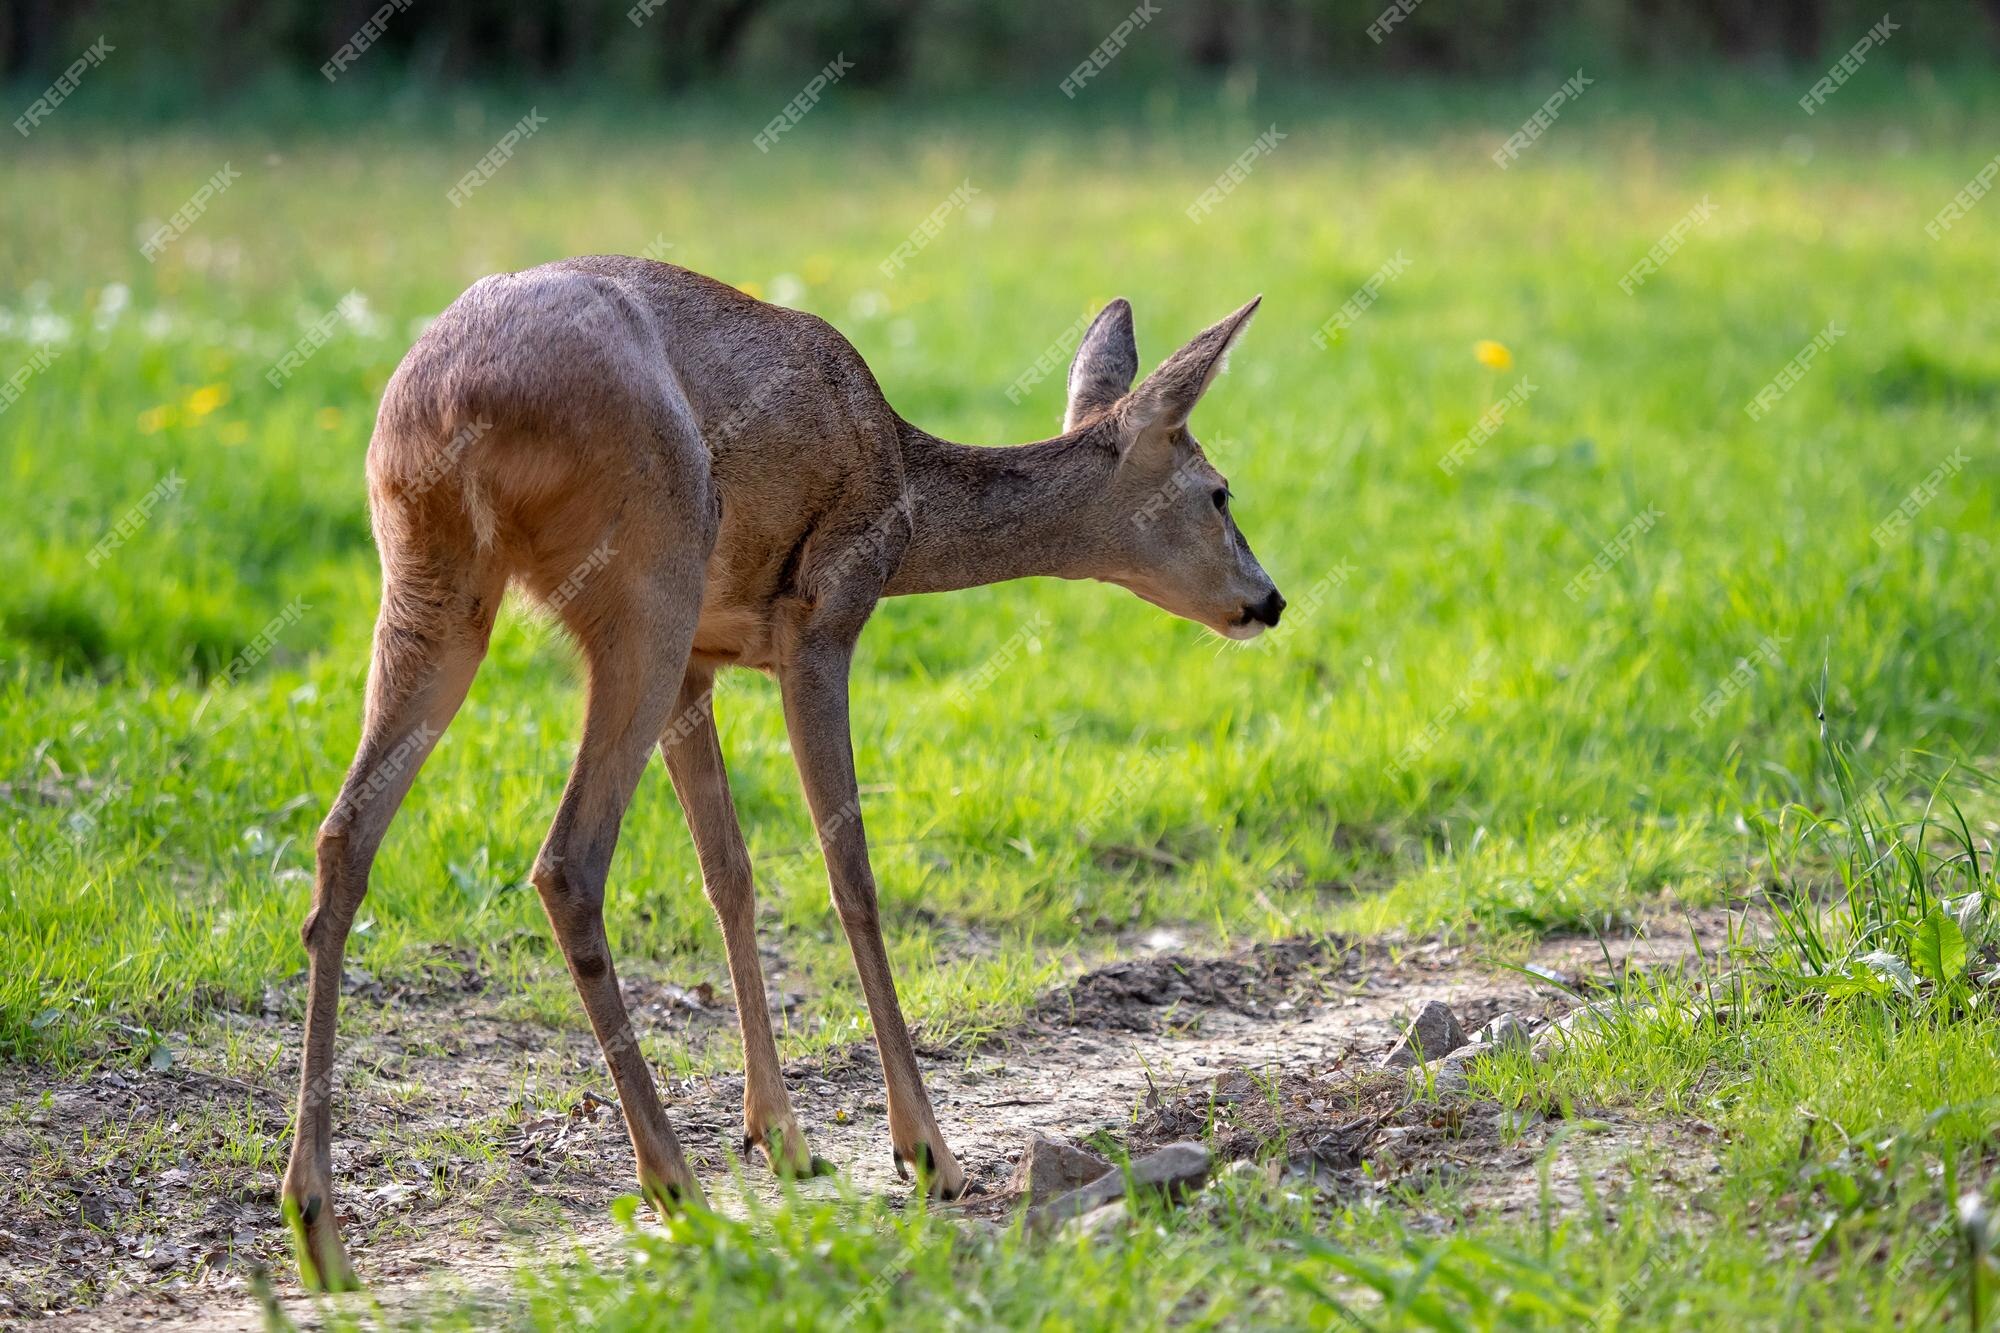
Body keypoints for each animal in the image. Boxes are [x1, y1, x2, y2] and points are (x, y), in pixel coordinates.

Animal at [282, 254, 1280, 1280]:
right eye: (1220, 491)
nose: (1271, 598)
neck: (908, 498)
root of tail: (448, 404)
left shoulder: (703, 661)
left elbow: (731, 870)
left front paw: (783, 1136)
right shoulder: (820, 615)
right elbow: (851, 873)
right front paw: (927, 1151)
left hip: (435, 582)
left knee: (343, 838)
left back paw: (319, 1229)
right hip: (647, 576)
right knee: (566, 861)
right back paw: (672, 1182)